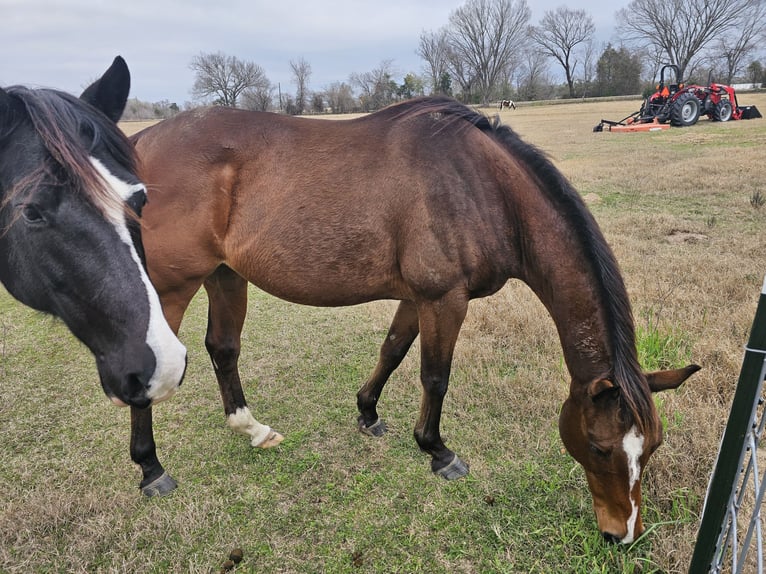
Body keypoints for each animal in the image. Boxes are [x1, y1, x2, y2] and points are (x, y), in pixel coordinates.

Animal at [132, 98, 704, 544]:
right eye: (601, 447)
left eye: (653, 446)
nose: (622, 535)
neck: (483, 187)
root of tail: (140, 143)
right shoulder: (444, 299)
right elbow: (435, 376)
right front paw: (437, 451)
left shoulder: (417, 298)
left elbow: (391, 349)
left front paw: (367, 412)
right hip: (172, 287)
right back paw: (151, 469)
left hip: (225, 276)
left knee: (223, 348)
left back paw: (251, 428)